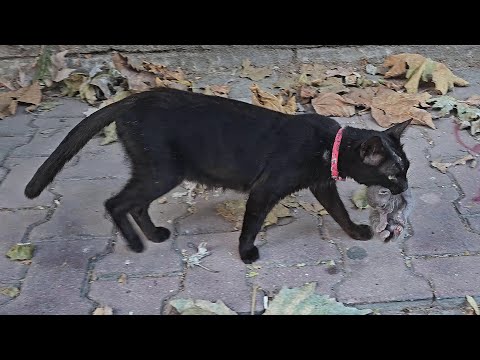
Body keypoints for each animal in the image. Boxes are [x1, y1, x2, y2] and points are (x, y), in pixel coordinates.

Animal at [24, 87, 410, 262]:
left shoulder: (322, 185)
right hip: (162, 172)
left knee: (136, 205)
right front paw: (246, 253)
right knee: (117, 203)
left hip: (156, 173)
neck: (327, 146)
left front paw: (356, 232)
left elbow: (339, 211)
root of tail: (132, 98)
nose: (405, 186)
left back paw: (154, 235)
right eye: (394, 175)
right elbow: (251, 223)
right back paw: (136, 243)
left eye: (406, 168)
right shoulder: (265, 189)